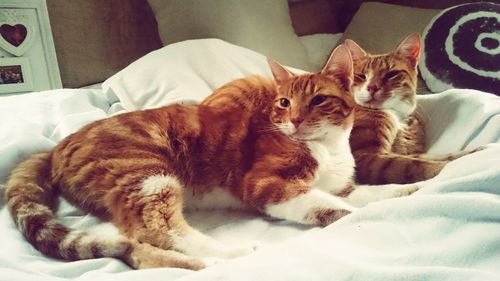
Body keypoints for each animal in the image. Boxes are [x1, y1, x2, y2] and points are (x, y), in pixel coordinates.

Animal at [5, 44, 418, 270]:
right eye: (284, 102)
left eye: (318, 100)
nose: (296, 119)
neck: (328, 146)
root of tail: (56, 145)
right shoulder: (267, 184)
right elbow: (337, 209)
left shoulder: (340, 185)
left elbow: (368, 193)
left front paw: (410, 190)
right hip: (146, 175)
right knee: (155, 229)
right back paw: (227, 255)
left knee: (133, 245)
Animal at [344, 33, 476, 184]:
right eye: (361, 76)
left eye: (391, 74)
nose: (372, 87)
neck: (397, 115)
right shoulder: (364, 156)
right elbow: (412, 165)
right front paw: (446, 167)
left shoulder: (411, 152)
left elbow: (431, 156)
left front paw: (471, 152)